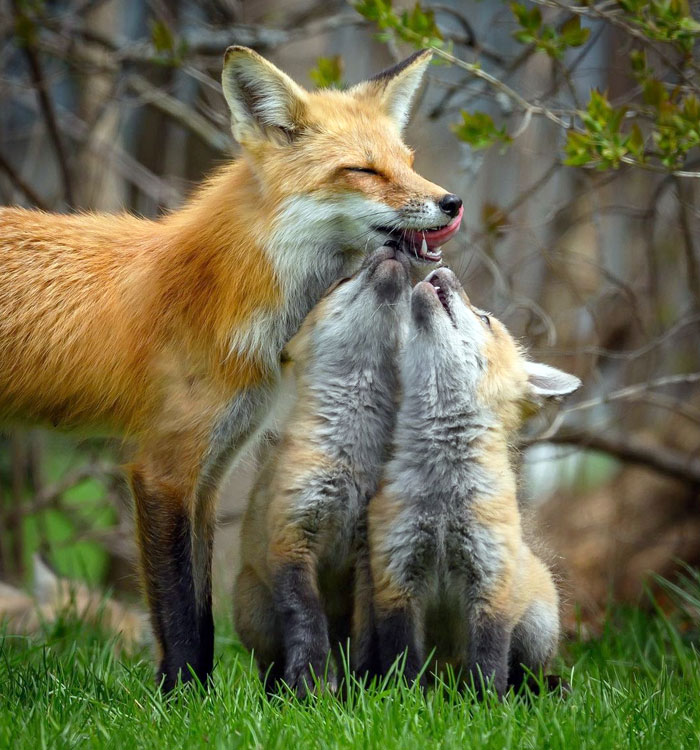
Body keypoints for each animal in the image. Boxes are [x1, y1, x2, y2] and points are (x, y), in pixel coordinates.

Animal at [233, 245, 410, 697]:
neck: (350, 462)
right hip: (256, 613)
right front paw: (310, 683)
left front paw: (362, 690)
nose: (391, 249)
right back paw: (276, 693)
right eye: (340, 282)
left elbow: (366, 635)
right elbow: (306, 619)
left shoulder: (369, 553)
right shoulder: (293, 537)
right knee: (269, 664)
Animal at [362, 267, 581, 697]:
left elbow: (489, 660)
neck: (443, 499)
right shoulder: (397, 575)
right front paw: (404, 700)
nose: (439, 271)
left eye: (484, 319)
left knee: (523, 671)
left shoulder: (490, 580)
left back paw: (537, 689)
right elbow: (402, 659)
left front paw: (485, 705)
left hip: (538, 623)